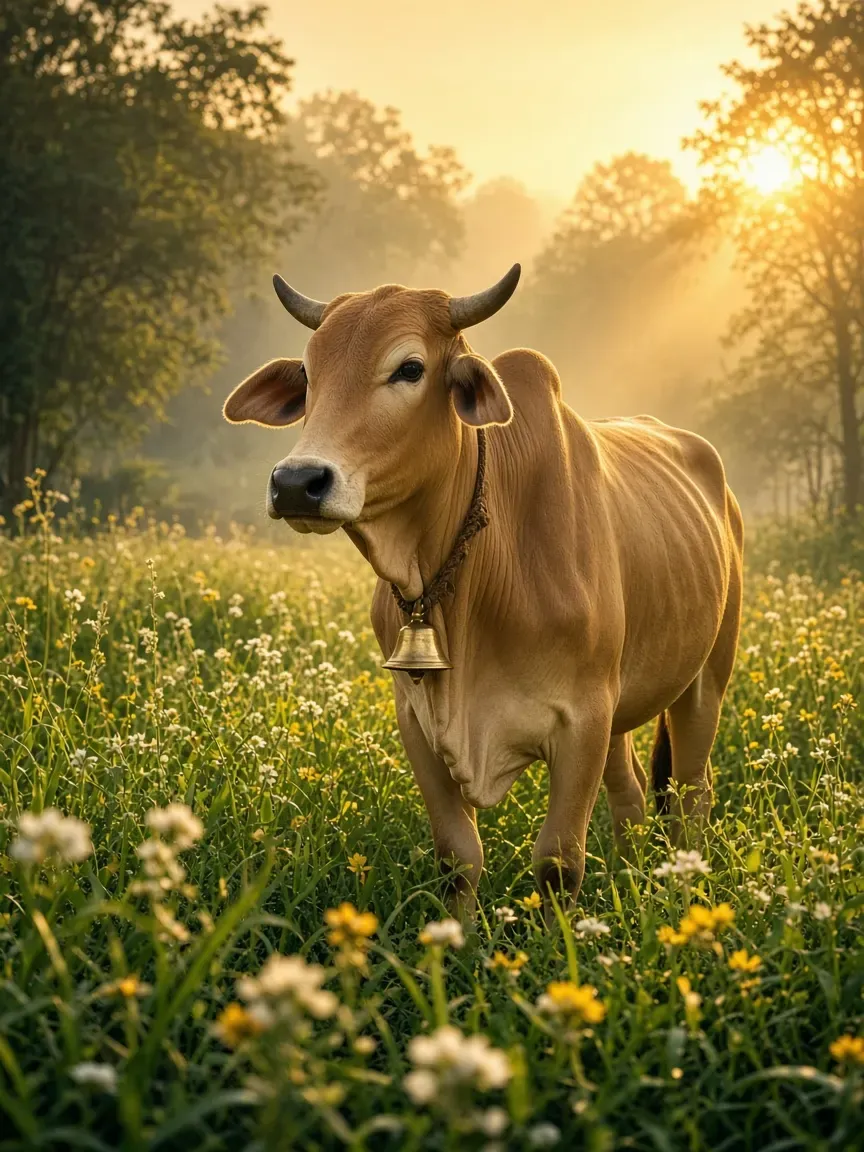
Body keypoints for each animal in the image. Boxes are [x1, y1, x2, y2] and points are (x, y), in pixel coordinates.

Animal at [224, 265, 744, 915]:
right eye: (309, 372)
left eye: (410, 368)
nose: (297, 482)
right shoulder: (418, 719)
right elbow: (457, 857)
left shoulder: (584, 719)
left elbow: (557, 864)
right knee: (631, 798)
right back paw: (627, 888)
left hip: (706, 681)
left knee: (692, 799)